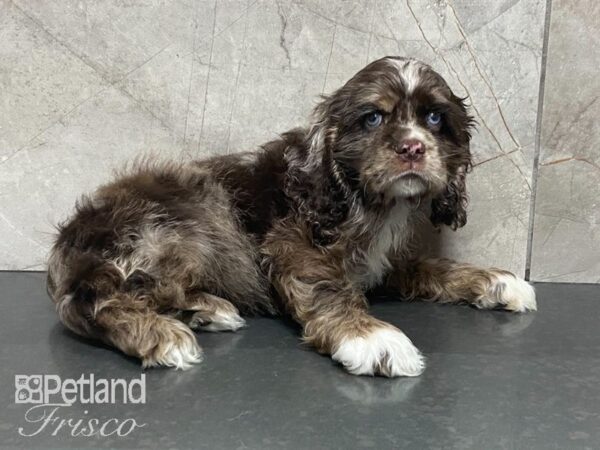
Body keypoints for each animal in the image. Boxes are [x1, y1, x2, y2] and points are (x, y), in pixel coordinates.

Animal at [45, 58, 536, 378]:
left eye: (435, 118)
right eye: (372, 118)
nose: (413, 147)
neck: (366, 201)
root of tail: (67, 246)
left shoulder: (382, 264)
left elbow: (434, 267)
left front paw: (495, 281)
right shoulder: (291, 244)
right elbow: (325, 288)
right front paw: (371, 337)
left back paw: (204, 310)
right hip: (193, 218)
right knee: (96, 298)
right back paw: (162, 332)